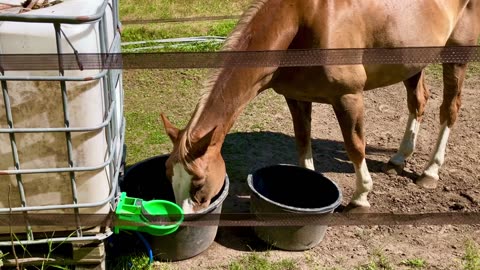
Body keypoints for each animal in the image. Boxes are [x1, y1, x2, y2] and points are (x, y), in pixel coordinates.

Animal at [161, 0, 480, 214]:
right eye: (169, 176)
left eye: (199, 183)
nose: (184, 219)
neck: (302, 21)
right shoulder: (296, 98)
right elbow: (303, 143)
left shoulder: (348, 96)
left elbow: (355, 146)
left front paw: (361, 198)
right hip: (413, 61)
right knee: (418, 102)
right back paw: (400, 158)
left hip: (456, 56)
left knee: (450, 110)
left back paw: (430, 172)